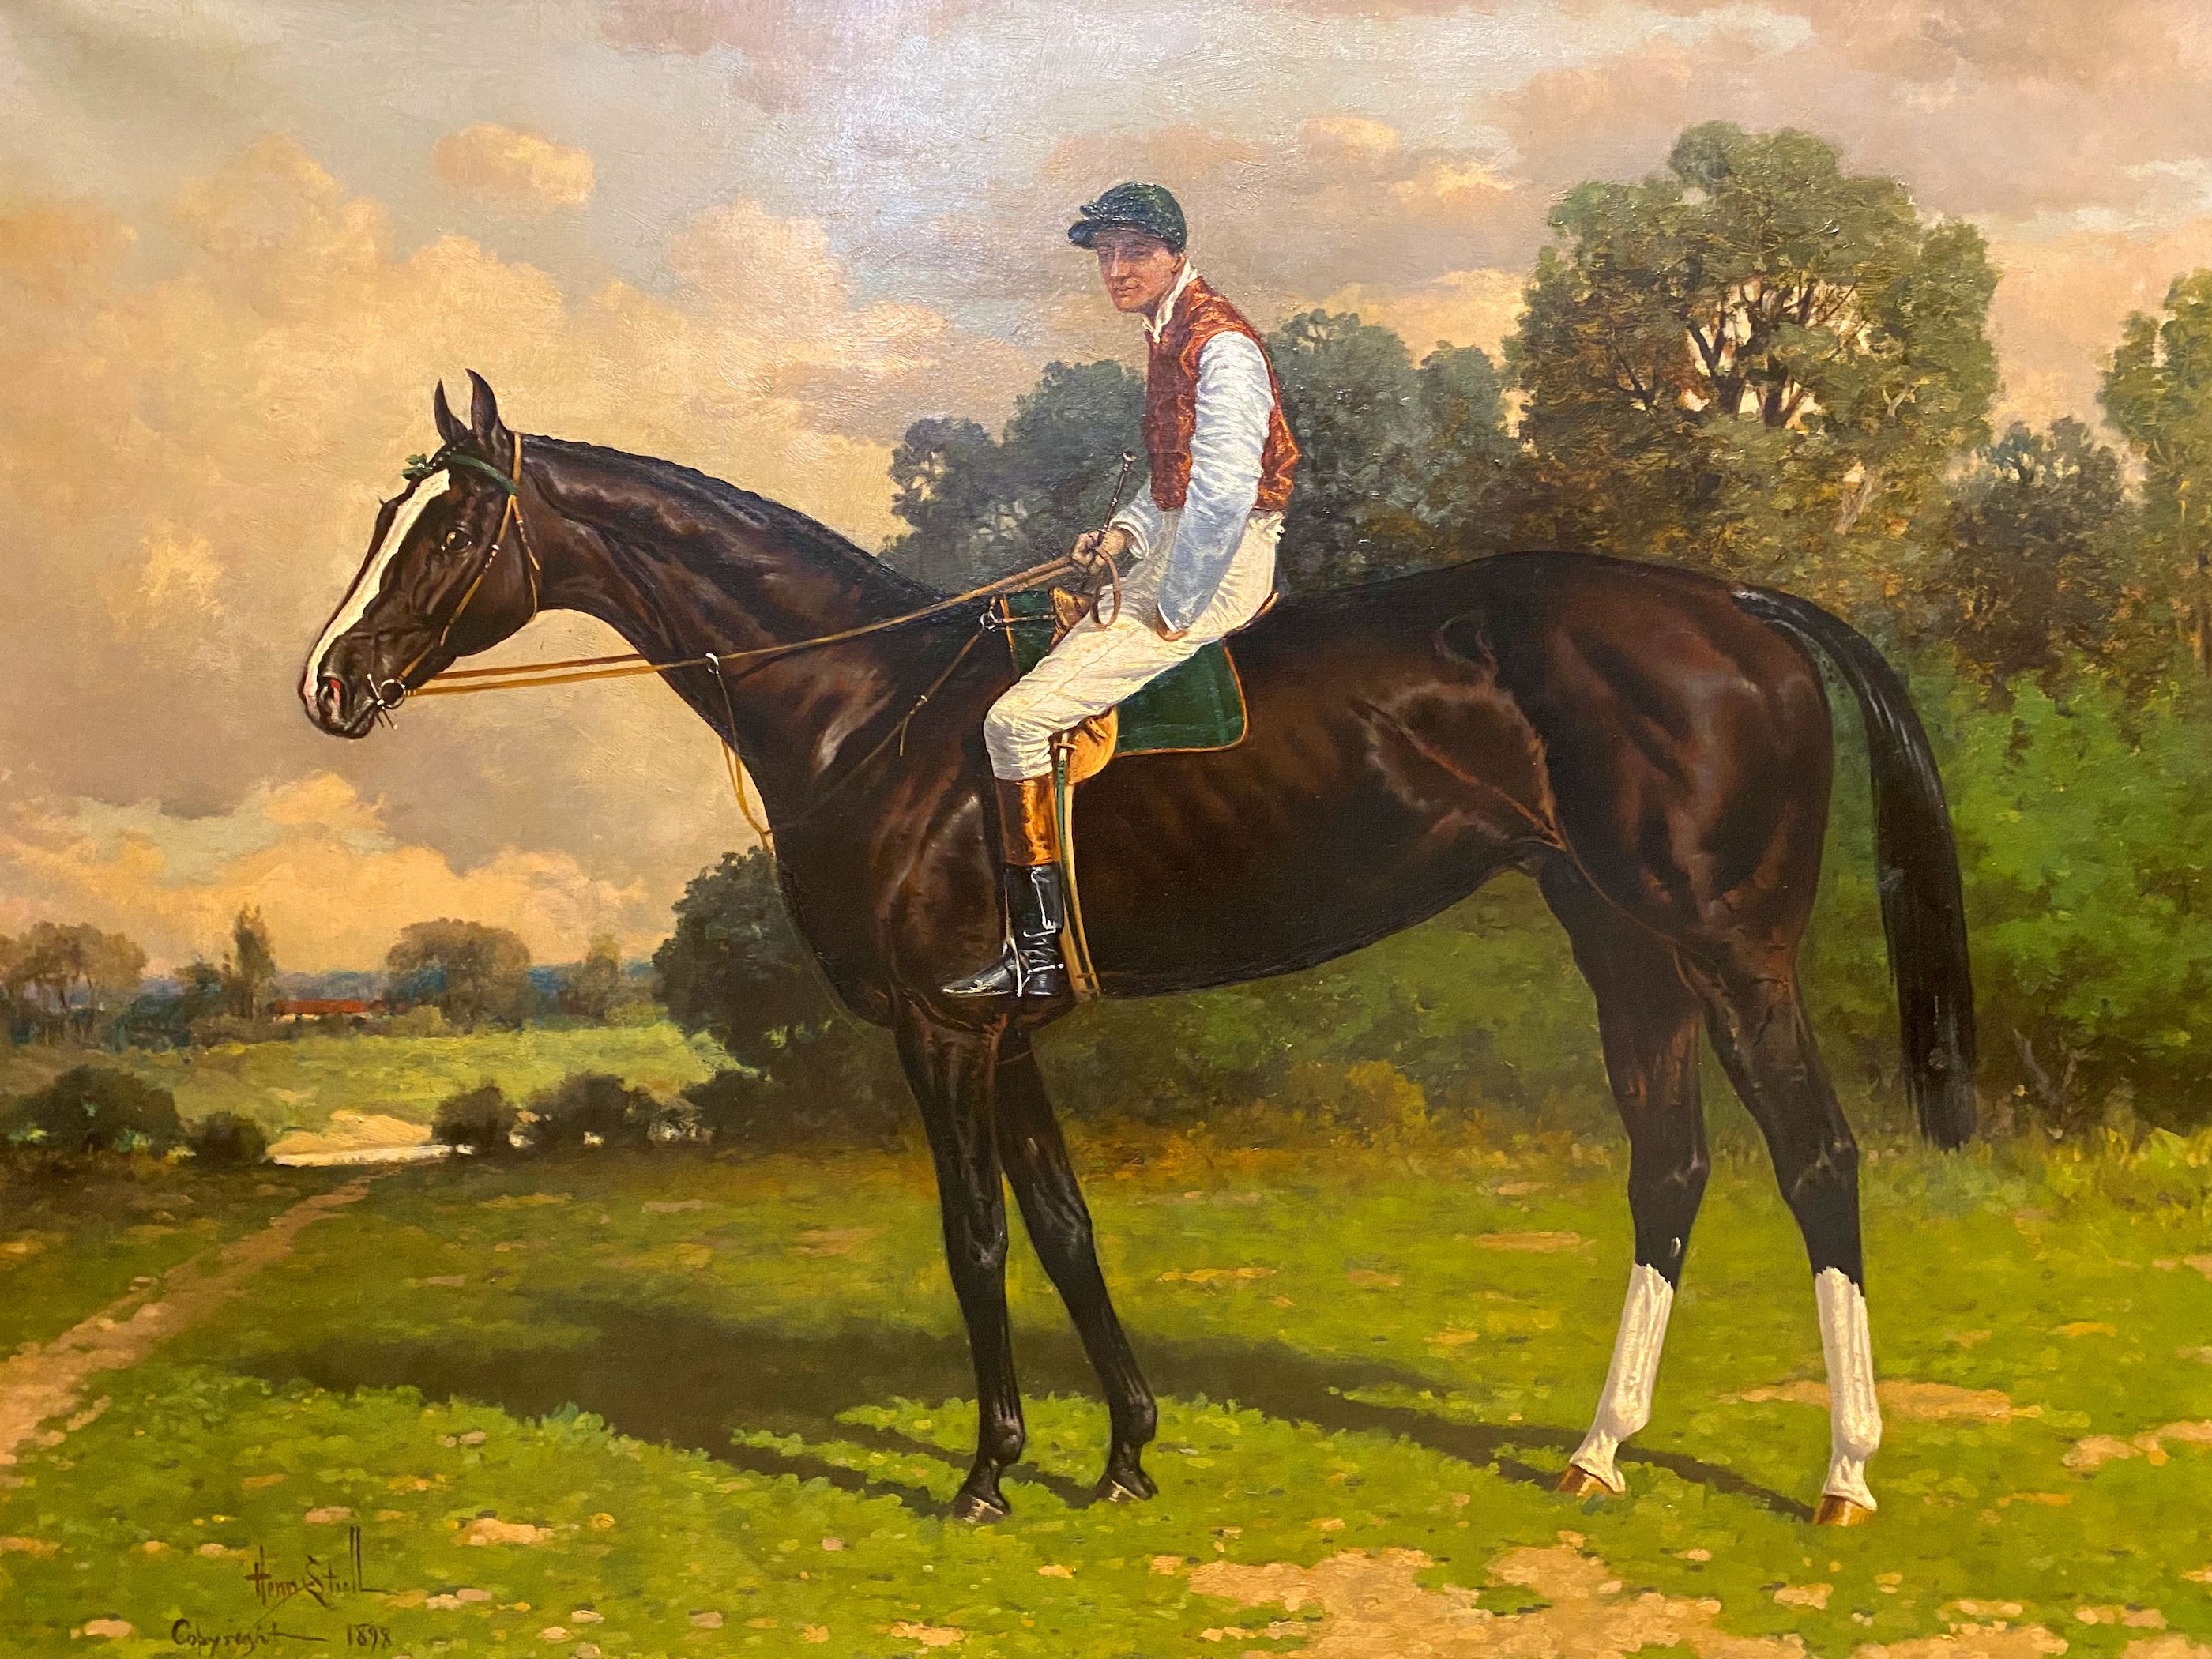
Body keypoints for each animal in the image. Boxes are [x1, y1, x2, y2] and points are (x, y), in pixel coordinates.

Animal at [302, 374, 1974, 1528]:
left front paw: (989, 1474)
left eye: (446, 526)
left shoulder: (944, 1033)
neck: (872, 709)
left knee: (1817, 1160)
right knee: (1670, 1164)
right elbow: (1066, 1230)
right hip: (1621, 946)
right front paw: (1123, 1456)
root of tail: (1732, 600)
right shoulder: (1010, 1036)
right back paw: (1597, 1452)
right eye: (383, 517)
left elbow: (976, 1240)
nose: (325, 683)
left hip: (1728, 955)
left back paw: (1844, 1473)